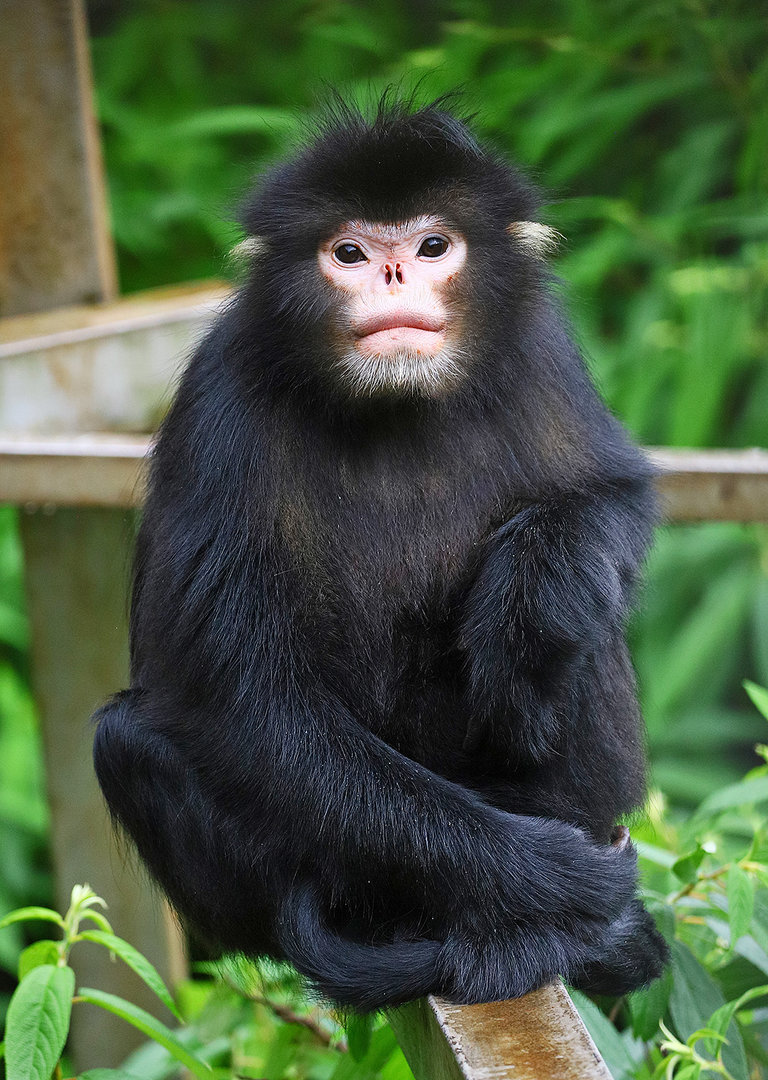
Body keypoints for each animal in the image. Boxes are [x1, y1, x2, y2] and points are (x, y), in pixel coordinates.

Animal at [93, 96, 668, 1011]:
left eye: (432, 246)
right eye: (350, 253)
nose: (394, 276)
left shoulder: (540, 348)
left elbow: (613, 498)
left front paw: (530, 600)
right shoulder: (223, 396)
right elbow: (250, 711)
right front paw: (553, 878)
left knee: (583, 620)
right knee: (126, 737)